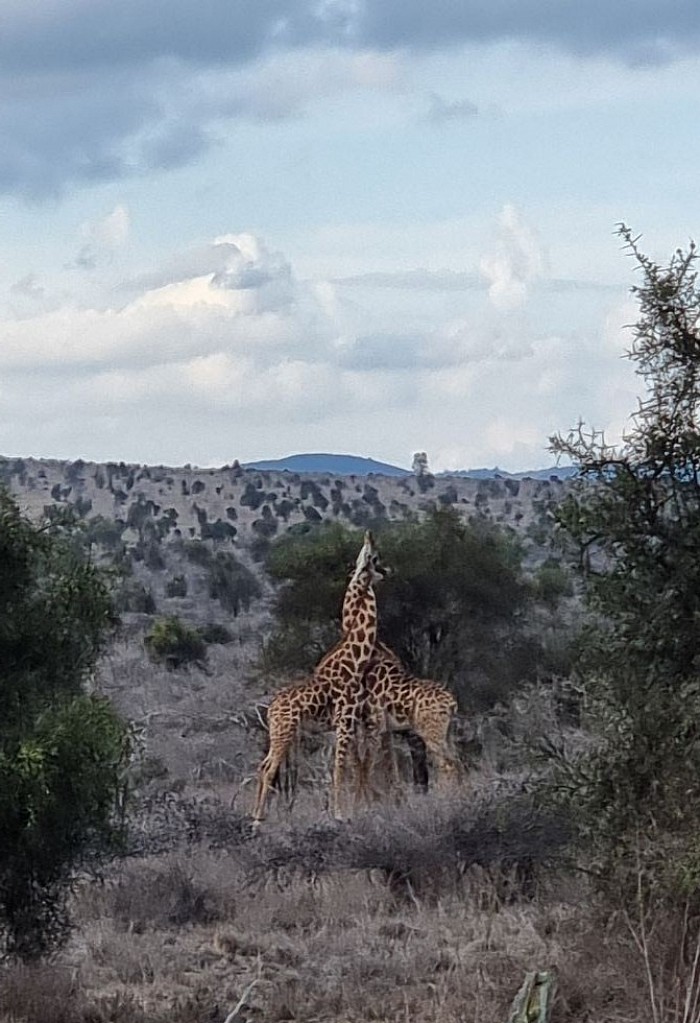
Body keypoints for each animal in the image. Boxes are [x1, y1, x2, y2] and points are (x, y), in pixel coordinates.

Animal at [251, 527, 382, 822]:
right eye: (375, 558)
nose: (387, 571)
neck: (356, 658)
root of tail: (270, 710)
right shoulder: (345, 721)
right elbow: (340, 767)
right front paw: (340, 813)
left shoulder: (349, 722)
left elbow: (356, 765)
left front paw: (362, 808)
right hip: (285, 732)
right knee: (269, 768)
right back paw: (257, 819)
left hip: (280, 733)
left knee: (263, 765)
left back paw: (254, 813)